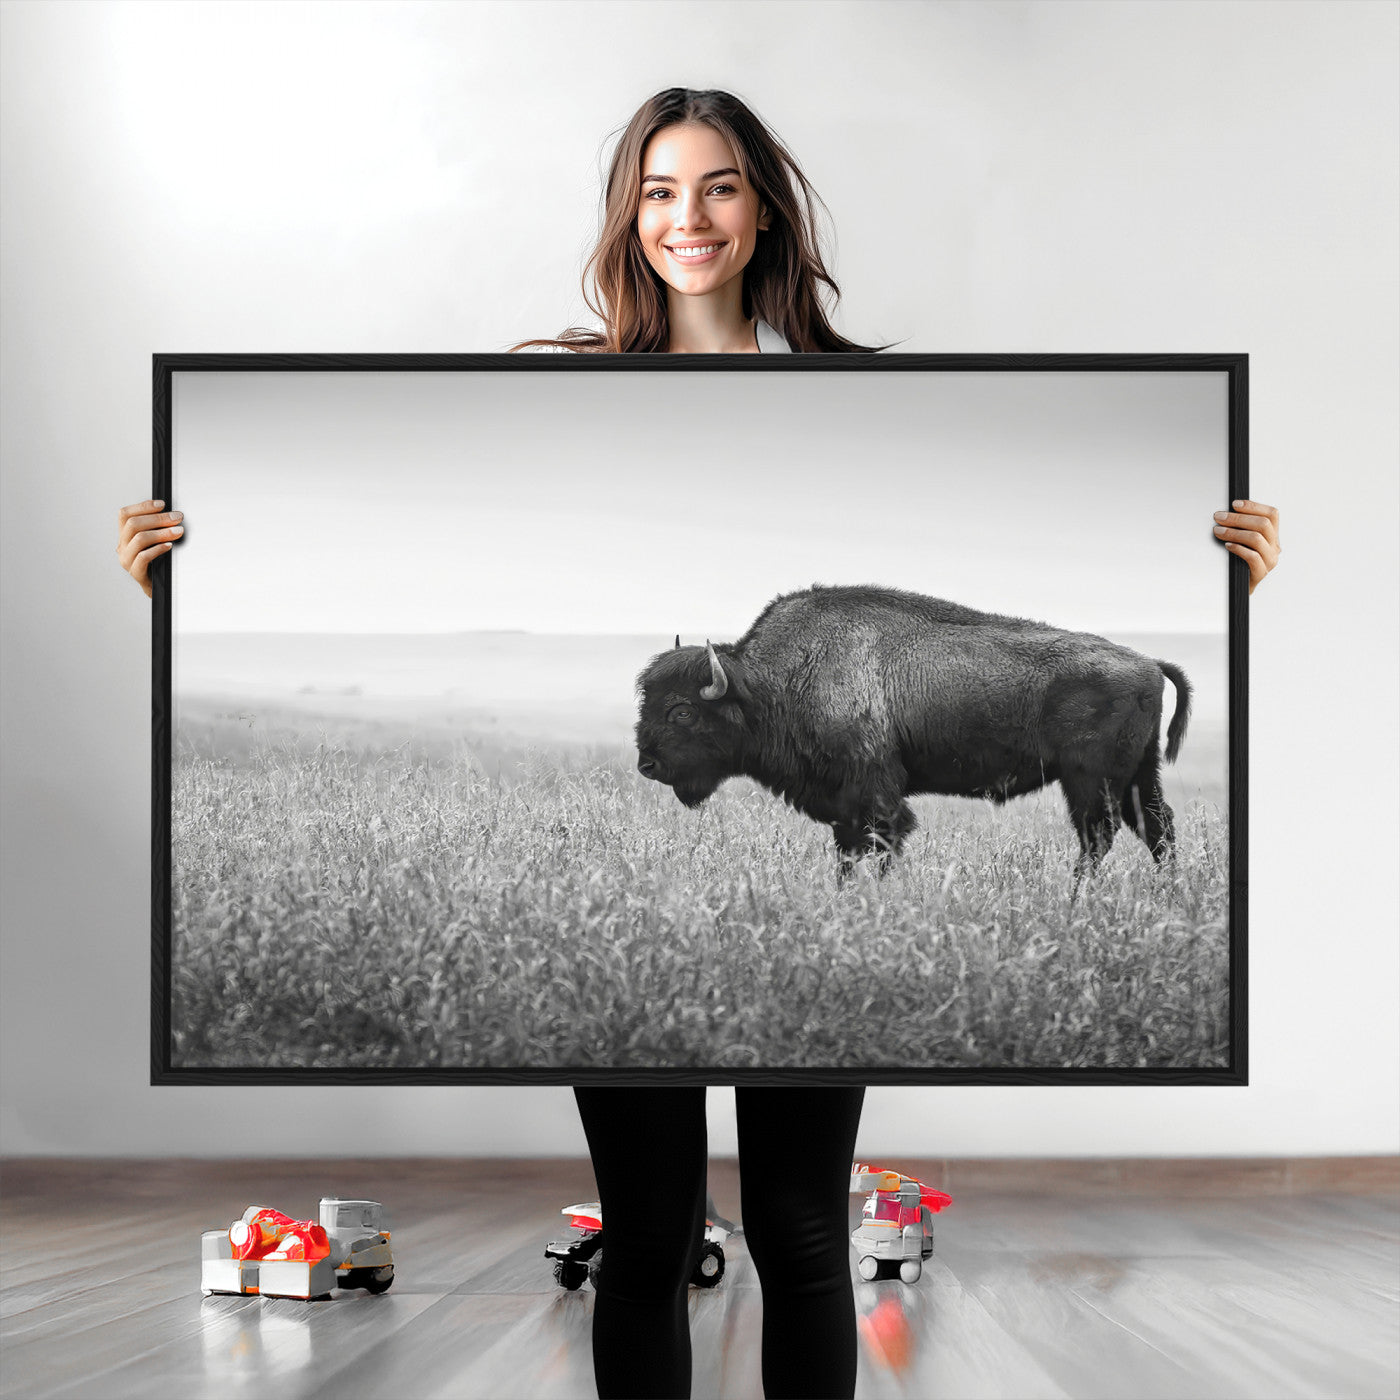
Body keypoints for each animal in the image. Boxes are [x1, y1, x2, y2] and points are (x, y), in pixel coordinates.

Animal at [634, 584, 1191, 886]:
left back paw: (1075, 897)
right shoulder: (844, 805)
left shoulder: (875, 794)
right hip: (1138, 774)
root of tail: (1149, 663)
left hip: (1090, 780)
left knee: (1100, 835)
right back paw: (1165, 894)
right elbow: (848, 851)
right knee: (1156, 828)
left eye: (682, 711)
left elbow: (881, 843)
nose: (647, 765)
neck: (773, 682)